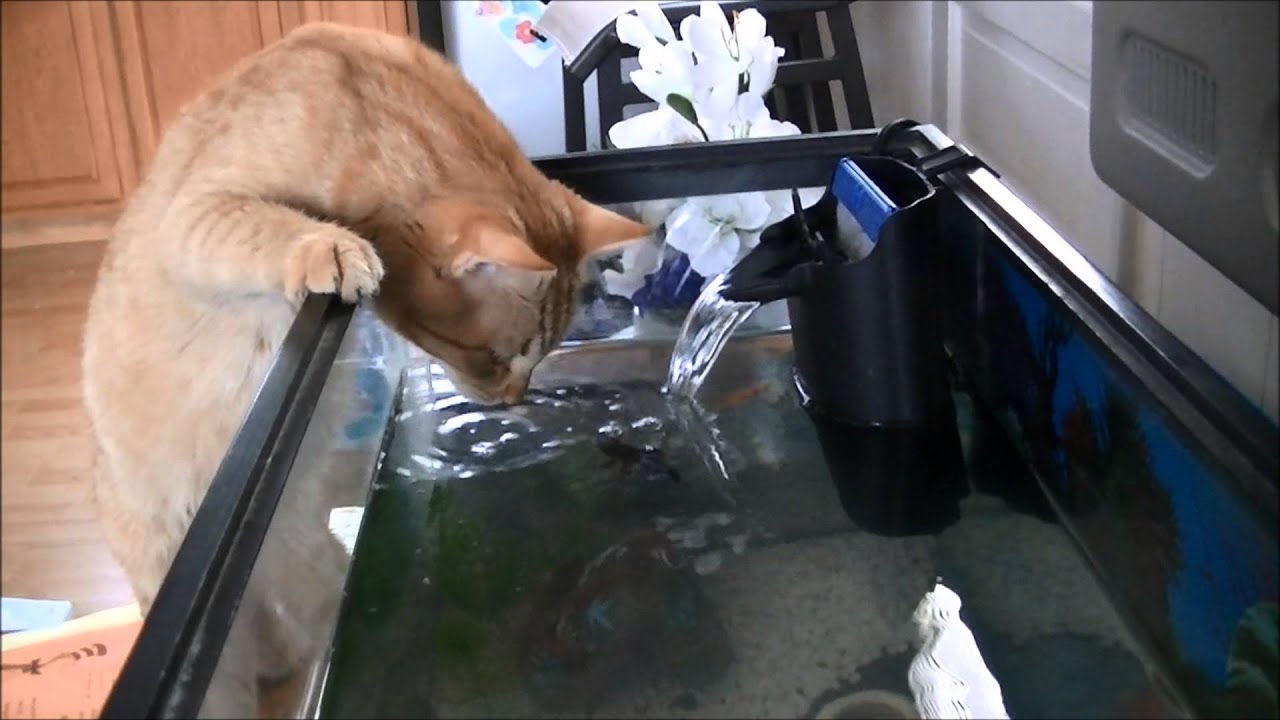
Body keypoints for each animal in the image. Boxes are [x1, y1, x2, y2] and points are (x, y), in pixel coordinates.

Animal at [82, 20, 650, 712]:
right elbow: (262, 224)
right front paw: (328, 246)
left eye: (537, 359)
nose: (514, 401)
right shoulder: (194, 214)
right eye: (495, 357)